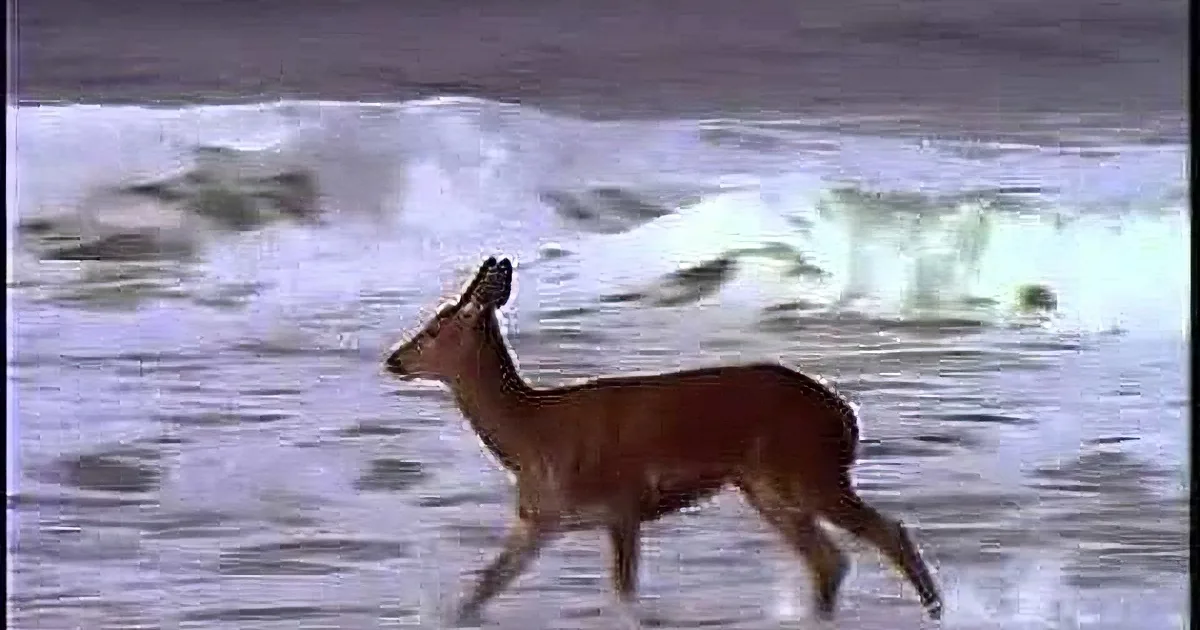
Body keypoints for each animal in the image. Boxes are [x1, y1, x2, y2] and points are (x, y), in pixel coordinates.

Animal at [383, 256, 943, 625]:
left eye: (432, 329)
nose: (394, 359)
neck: (532, 438)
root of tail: (846, 415)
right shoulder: (540, 519)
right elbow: (481, 589)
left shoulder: (622, 502)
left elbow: (624, 594)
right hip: (767, 487)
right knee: (828, 559)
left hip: (807, 469)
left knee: (884, 532)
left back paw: (935, 611)